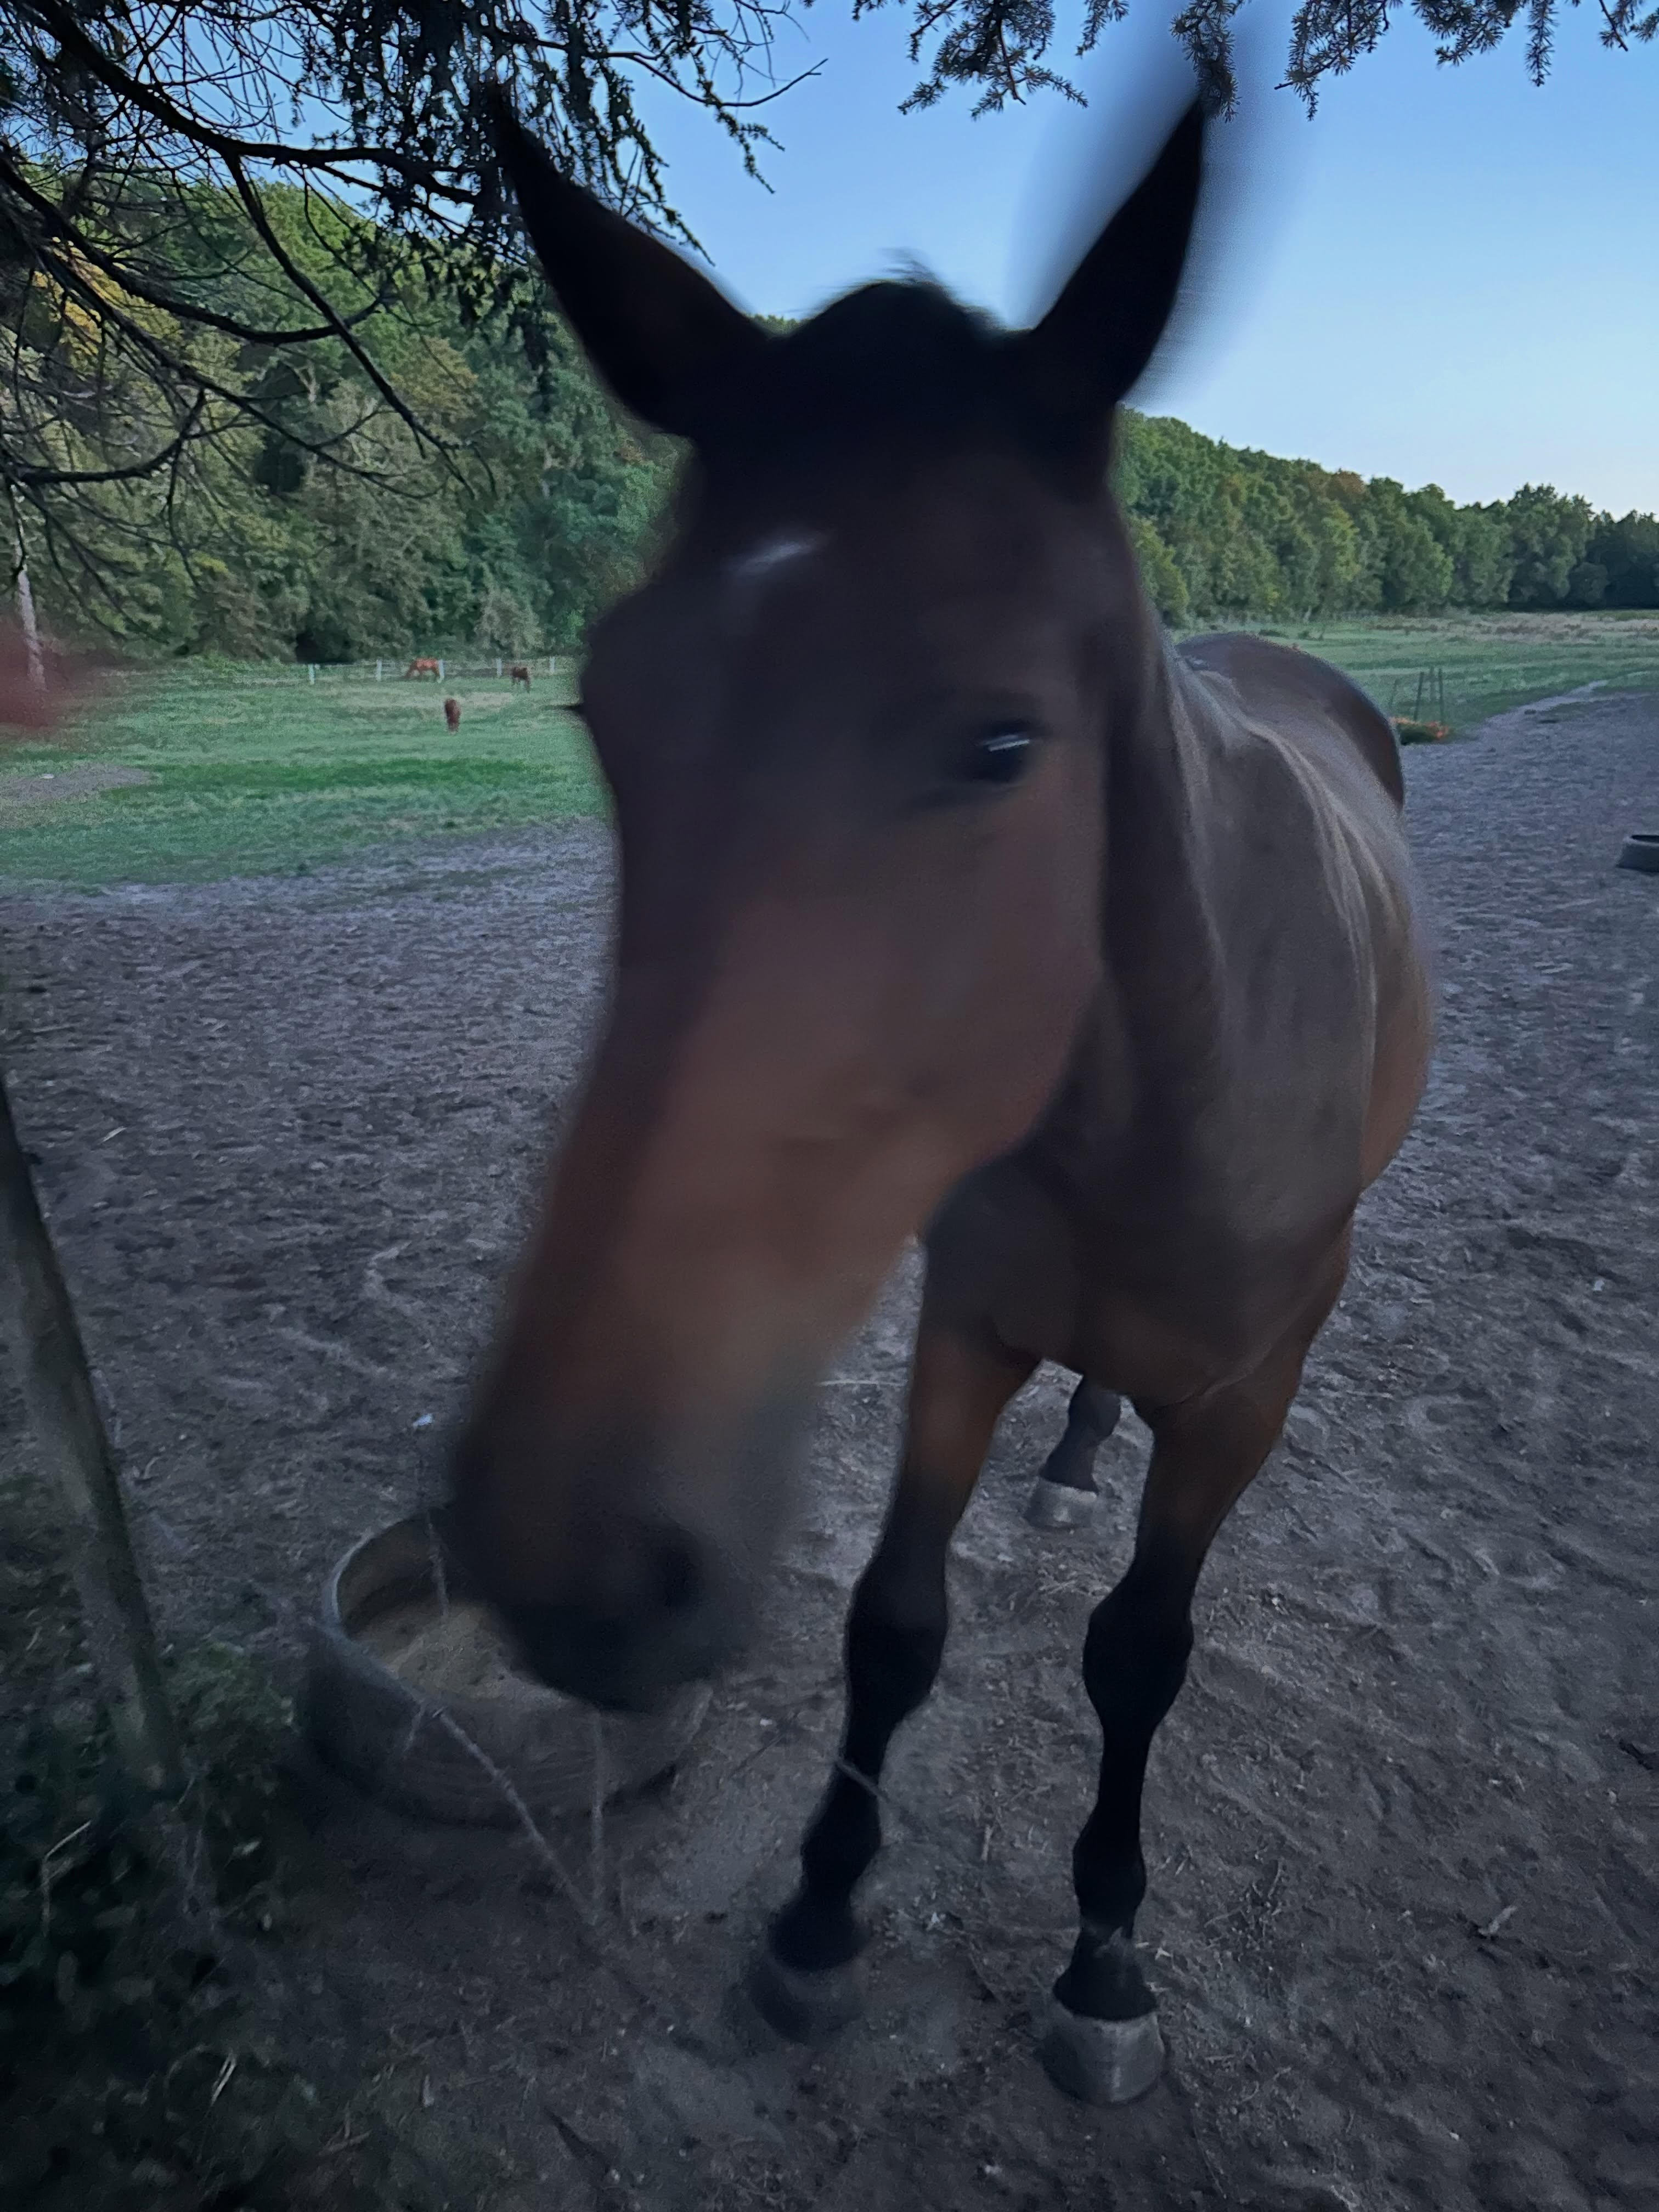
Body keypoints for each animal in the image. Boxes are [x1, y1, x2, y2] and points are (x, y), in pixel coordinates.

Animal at [453, 94, 1432, 2105]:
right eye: (605, 709)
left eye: (999, 743)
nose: (559, 1549)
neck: (1162, 1091)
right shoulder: (960, 1324)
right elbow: (894, 1623)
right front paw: (818, 1919)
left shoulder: (1248, 1401)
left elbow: (1143, 1655)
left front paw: (1105, 1955)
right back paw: (1064, 1463)